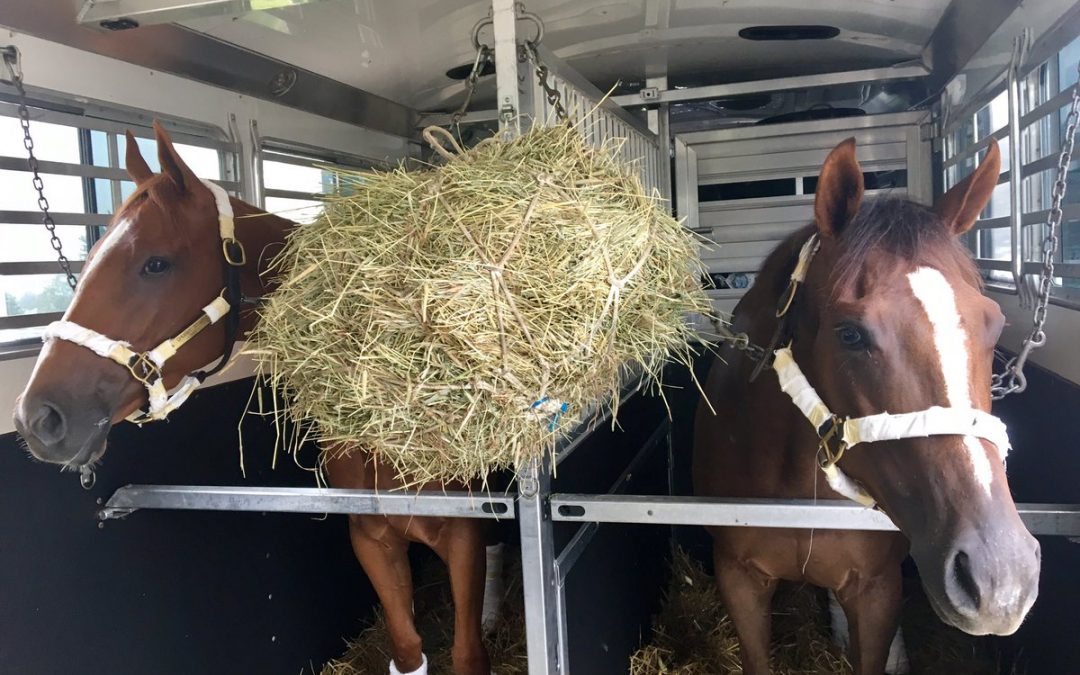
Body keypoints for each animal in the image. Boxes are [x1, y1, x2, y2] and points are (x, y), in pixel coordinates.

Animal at [11, 122, 494, 673]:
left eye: (156, 263)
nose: (37, 418)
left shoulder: (466, 535)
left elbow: (468, 654)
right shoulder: (373, 539)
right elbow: (408, 650)